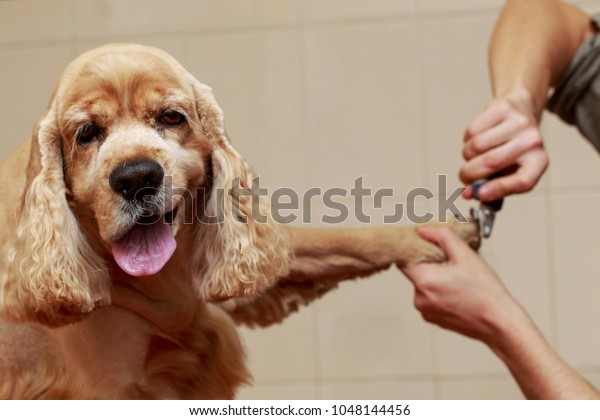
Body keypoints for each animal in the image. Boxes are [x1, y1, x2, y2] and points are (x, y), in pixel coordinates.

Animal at [0, 44, 480, 398]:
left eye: (171, 117)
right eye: (86, 133)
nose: (136, 177)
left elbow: (338, 240)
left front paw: (437, 235)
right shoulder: (111, 384)